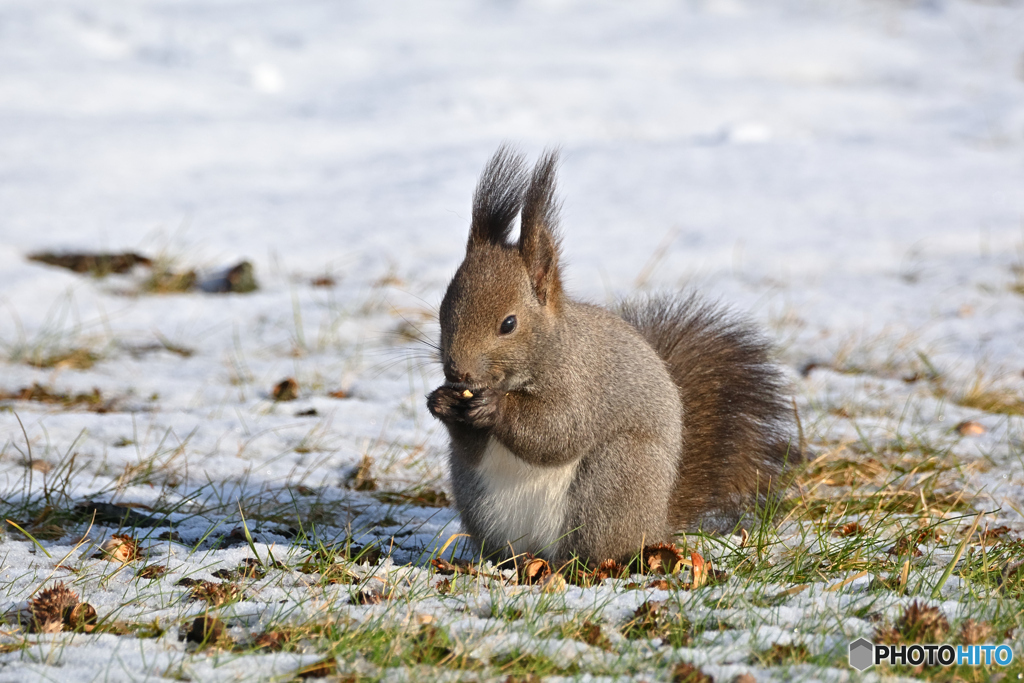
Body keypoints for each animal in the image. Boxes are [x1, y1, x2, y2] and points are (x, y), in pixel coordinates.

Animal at [423, 148, 798, 565]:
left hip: (613, 479)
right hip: (479, 501)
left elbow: (560, 430)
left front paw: (495, 407)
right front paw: (441, 402)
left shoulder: (583, 383)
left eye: (508, 324)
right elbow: (472, 448)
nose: (457, 371)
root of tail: (655, 524)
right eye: (443, 312)